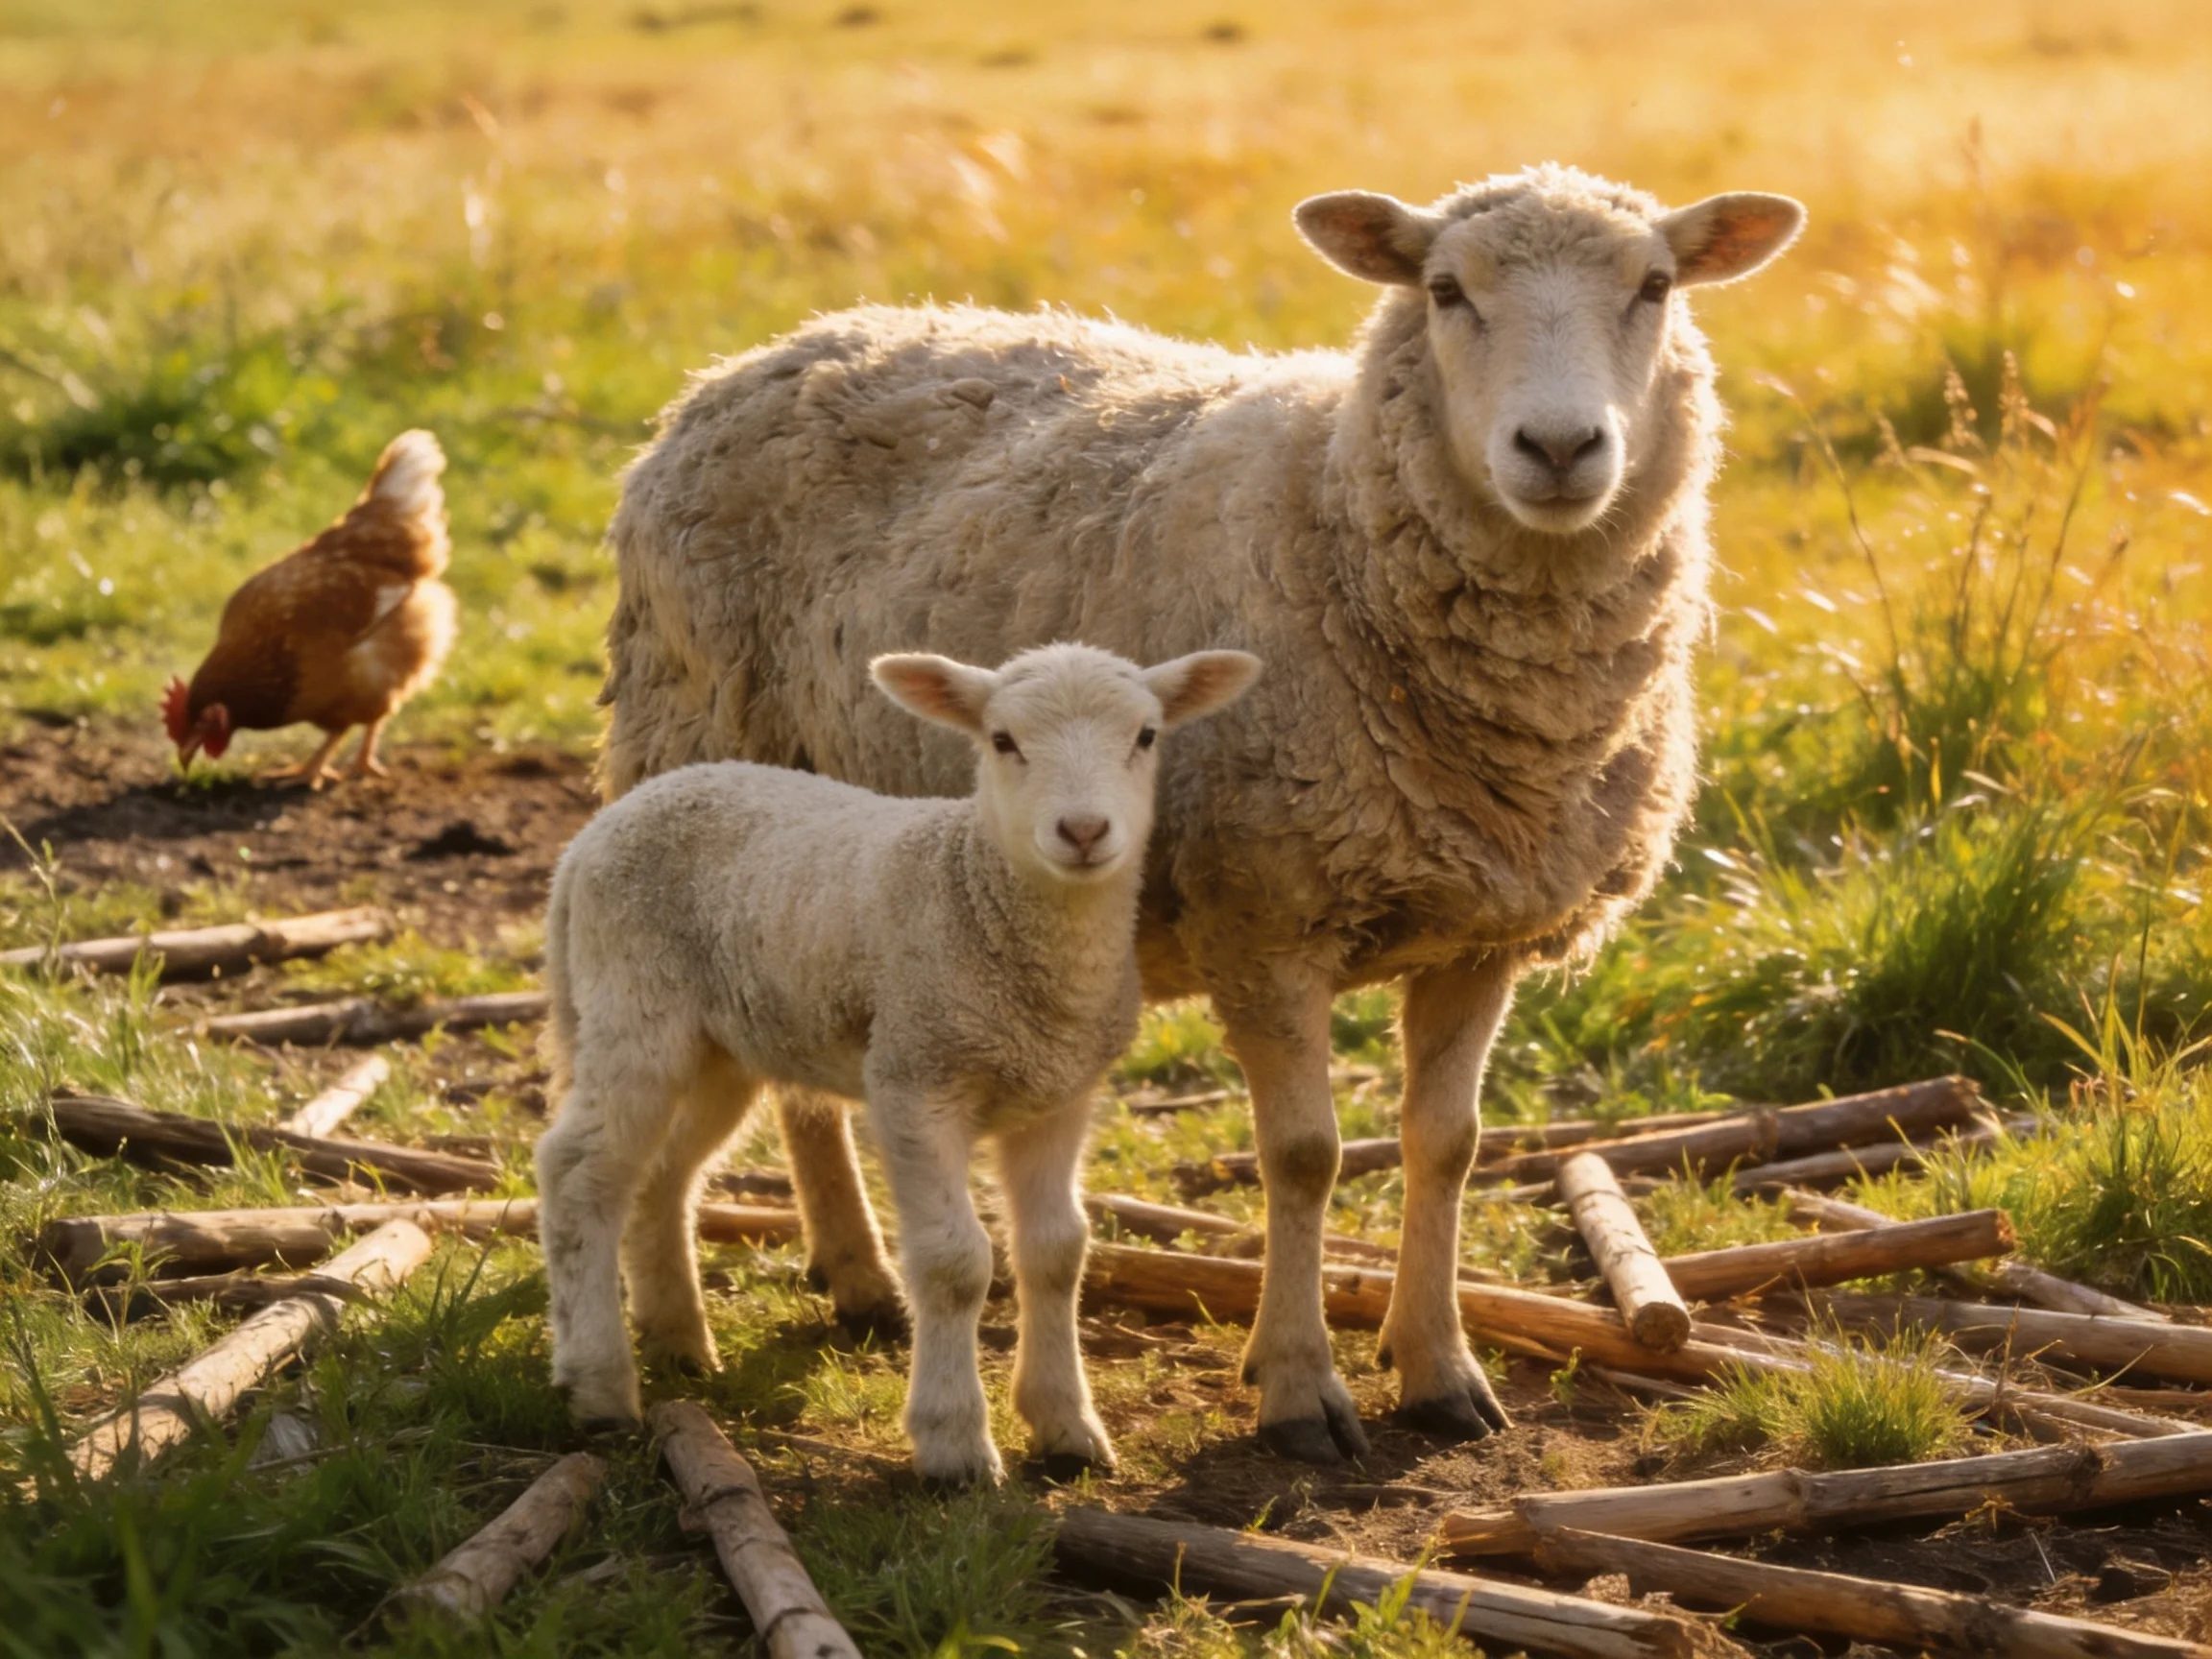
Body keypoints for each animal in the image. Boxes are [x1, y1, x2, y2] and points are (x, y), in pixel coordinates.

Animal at [536, 641, 1260, 1481]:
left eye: (1145, 735)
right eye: (1003, 740)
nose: (1083, 830)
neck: (978, 892)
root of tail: (595, 833)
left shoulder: (1060, 1095)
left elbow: (1057, 1253)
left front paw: (1067, 1428)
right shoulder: (915, 1078)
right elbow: (954, 1264)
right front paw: (954, 1444)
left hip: (721, 1045)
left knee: (660, 1174)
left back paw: (679, 1344)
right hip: (633, 1009)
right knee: (577, 1172)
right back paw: (598, 1385)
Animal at [597, 163, 1805, 1464]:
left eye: (1655, 284)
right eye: (1445, 290)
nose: (1562, 446)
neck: (1336, 520)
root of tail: (765, 353)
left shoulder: (1480, 931)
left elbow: (1447, 1145)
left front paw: (1438, 1367)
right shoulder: (1263, 913)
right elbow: (1305, 1156)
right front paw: (1300, 1386)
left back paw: (850, 1271)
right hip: (712, 751)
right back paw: (859, 1275)